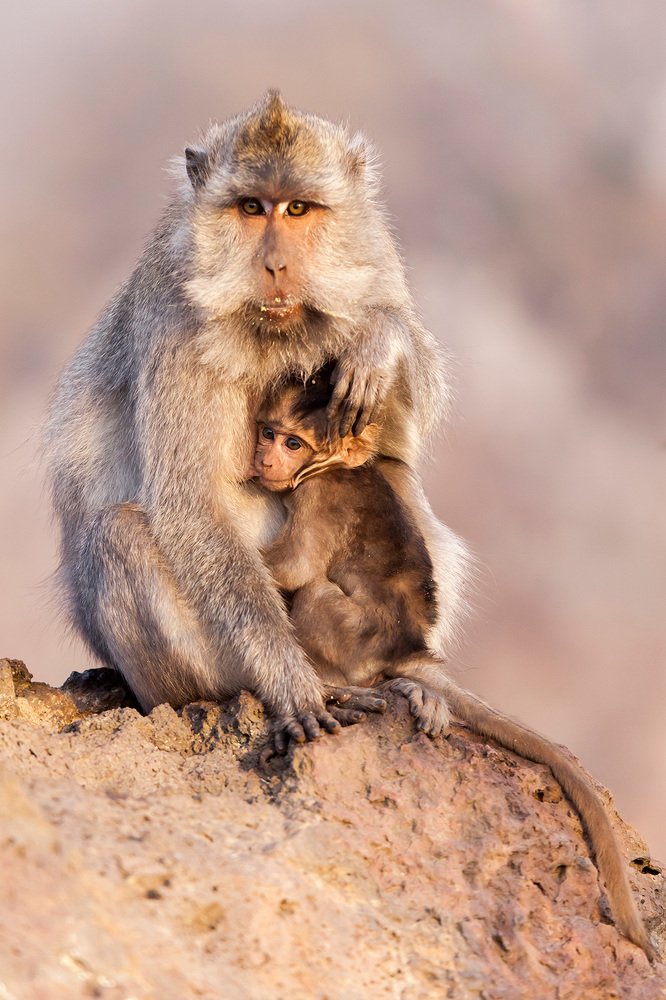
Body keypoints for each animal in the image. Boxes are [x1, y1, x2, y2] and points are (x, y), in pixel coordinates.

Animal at [43, 92, 468, 749]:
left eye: (297, 208)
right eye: (250, 208)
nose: (274, 265)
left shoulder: (375, 262)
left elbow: (391, 442)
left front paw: (380, 337)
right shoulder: (175, 325)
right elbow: (190, 505)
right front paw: (289, 682)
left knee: (390, 472)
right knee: (121, 533)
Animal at [249, 369, 655, 960]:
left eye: (293, 443)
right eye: (268, 432)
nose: (265, 457)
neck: (340, 466)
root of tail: (408, 650)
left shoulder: (318, 496)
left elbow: (295, 568)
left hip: (351, 638)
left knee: (317, 593)